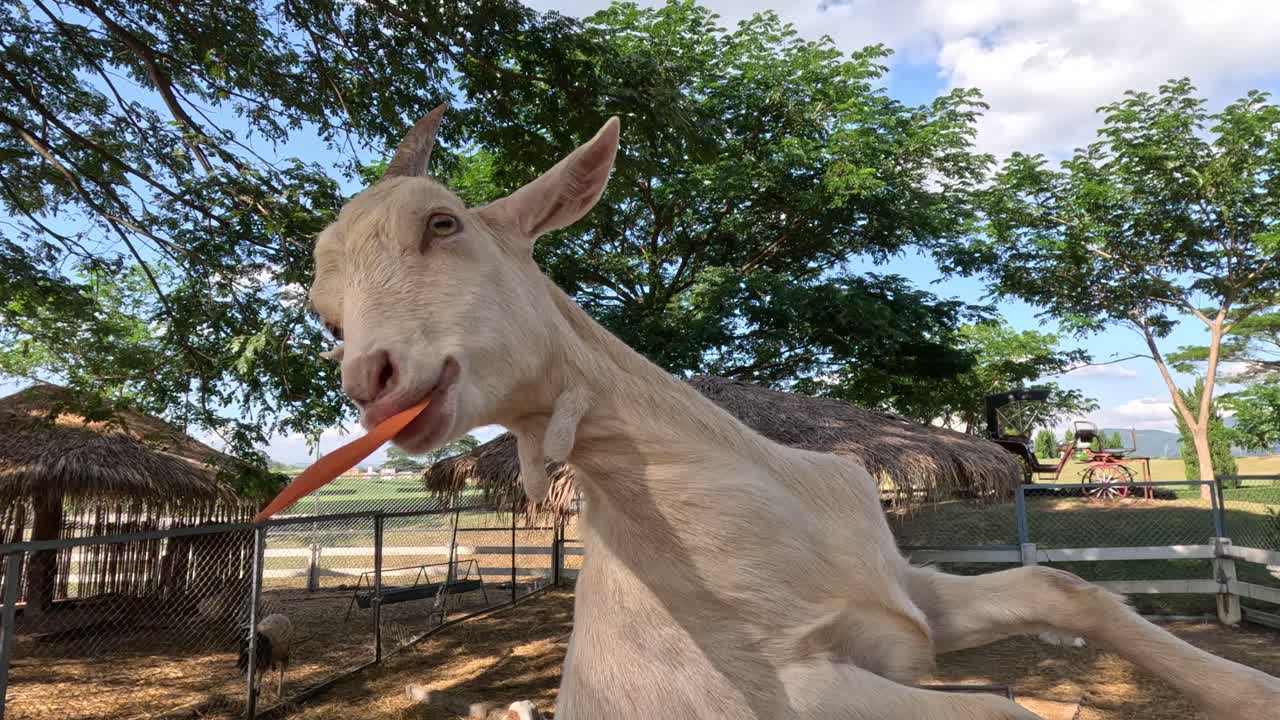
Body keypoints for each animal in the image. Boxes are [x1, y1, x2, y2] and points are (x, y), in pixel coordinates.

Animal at [306, 104, 1280, 718]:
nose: (371, 380)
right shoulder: (794, 688)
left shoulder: (910, 599)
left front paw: (1251, 696)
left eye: (443, 224)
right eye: (326, 312)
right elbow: (1006, 711)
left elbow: (1062, 589)